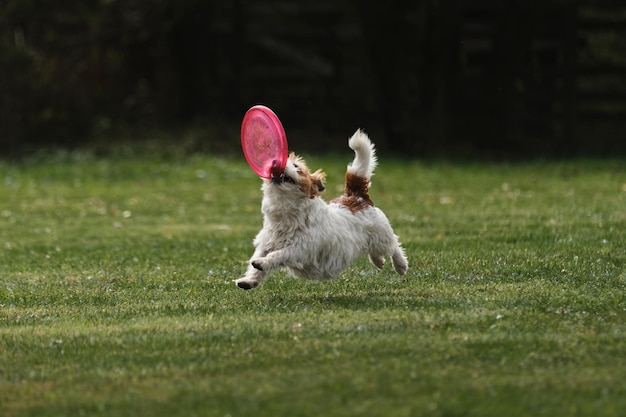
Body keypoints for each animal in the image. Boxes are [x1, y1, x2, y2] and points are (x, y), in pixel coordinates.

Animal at [233, 128, 404, 288]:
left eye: (296, 166)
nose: (275, 162)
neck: (286, 213)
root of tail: (357, 196)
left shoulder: (299, 248)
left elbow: (278, 255)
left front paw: (262, 263)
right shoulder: (266, 243)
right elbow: (256, 264)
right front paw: (249, 280)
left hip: (381, 235)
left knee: (394, 246)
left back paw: (401, 265)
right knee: (376, 250)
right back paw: (378, 260)